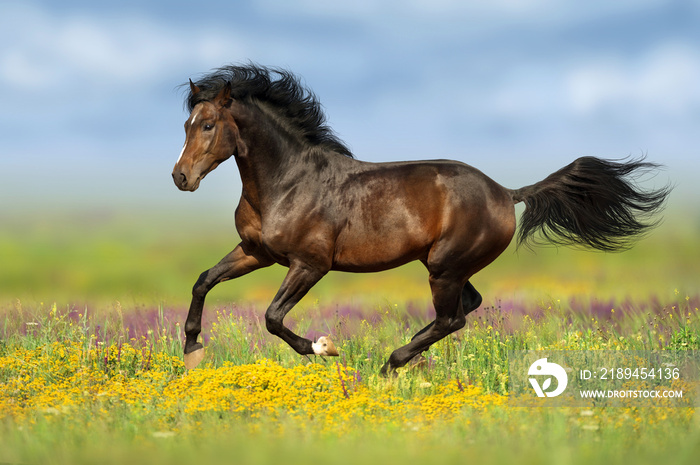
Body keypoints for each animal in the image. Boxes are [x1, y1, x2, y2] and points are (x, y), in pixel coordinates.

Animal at [172, 63, 668, 376]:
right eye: (187, 125)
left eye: (209, 125)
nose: (180, 177)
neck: (288, 181)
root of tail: (506, 193)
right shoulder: (257, 252)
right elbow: (202, 281)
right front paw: (193, 350)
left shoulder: (310, 264)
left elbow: (273, 317)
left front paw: (323, 348)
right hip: (447, 266)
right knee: (466, 308)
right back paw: (398, 359)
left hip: (444, 268)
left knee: (452, 319)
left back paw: (390, 364)